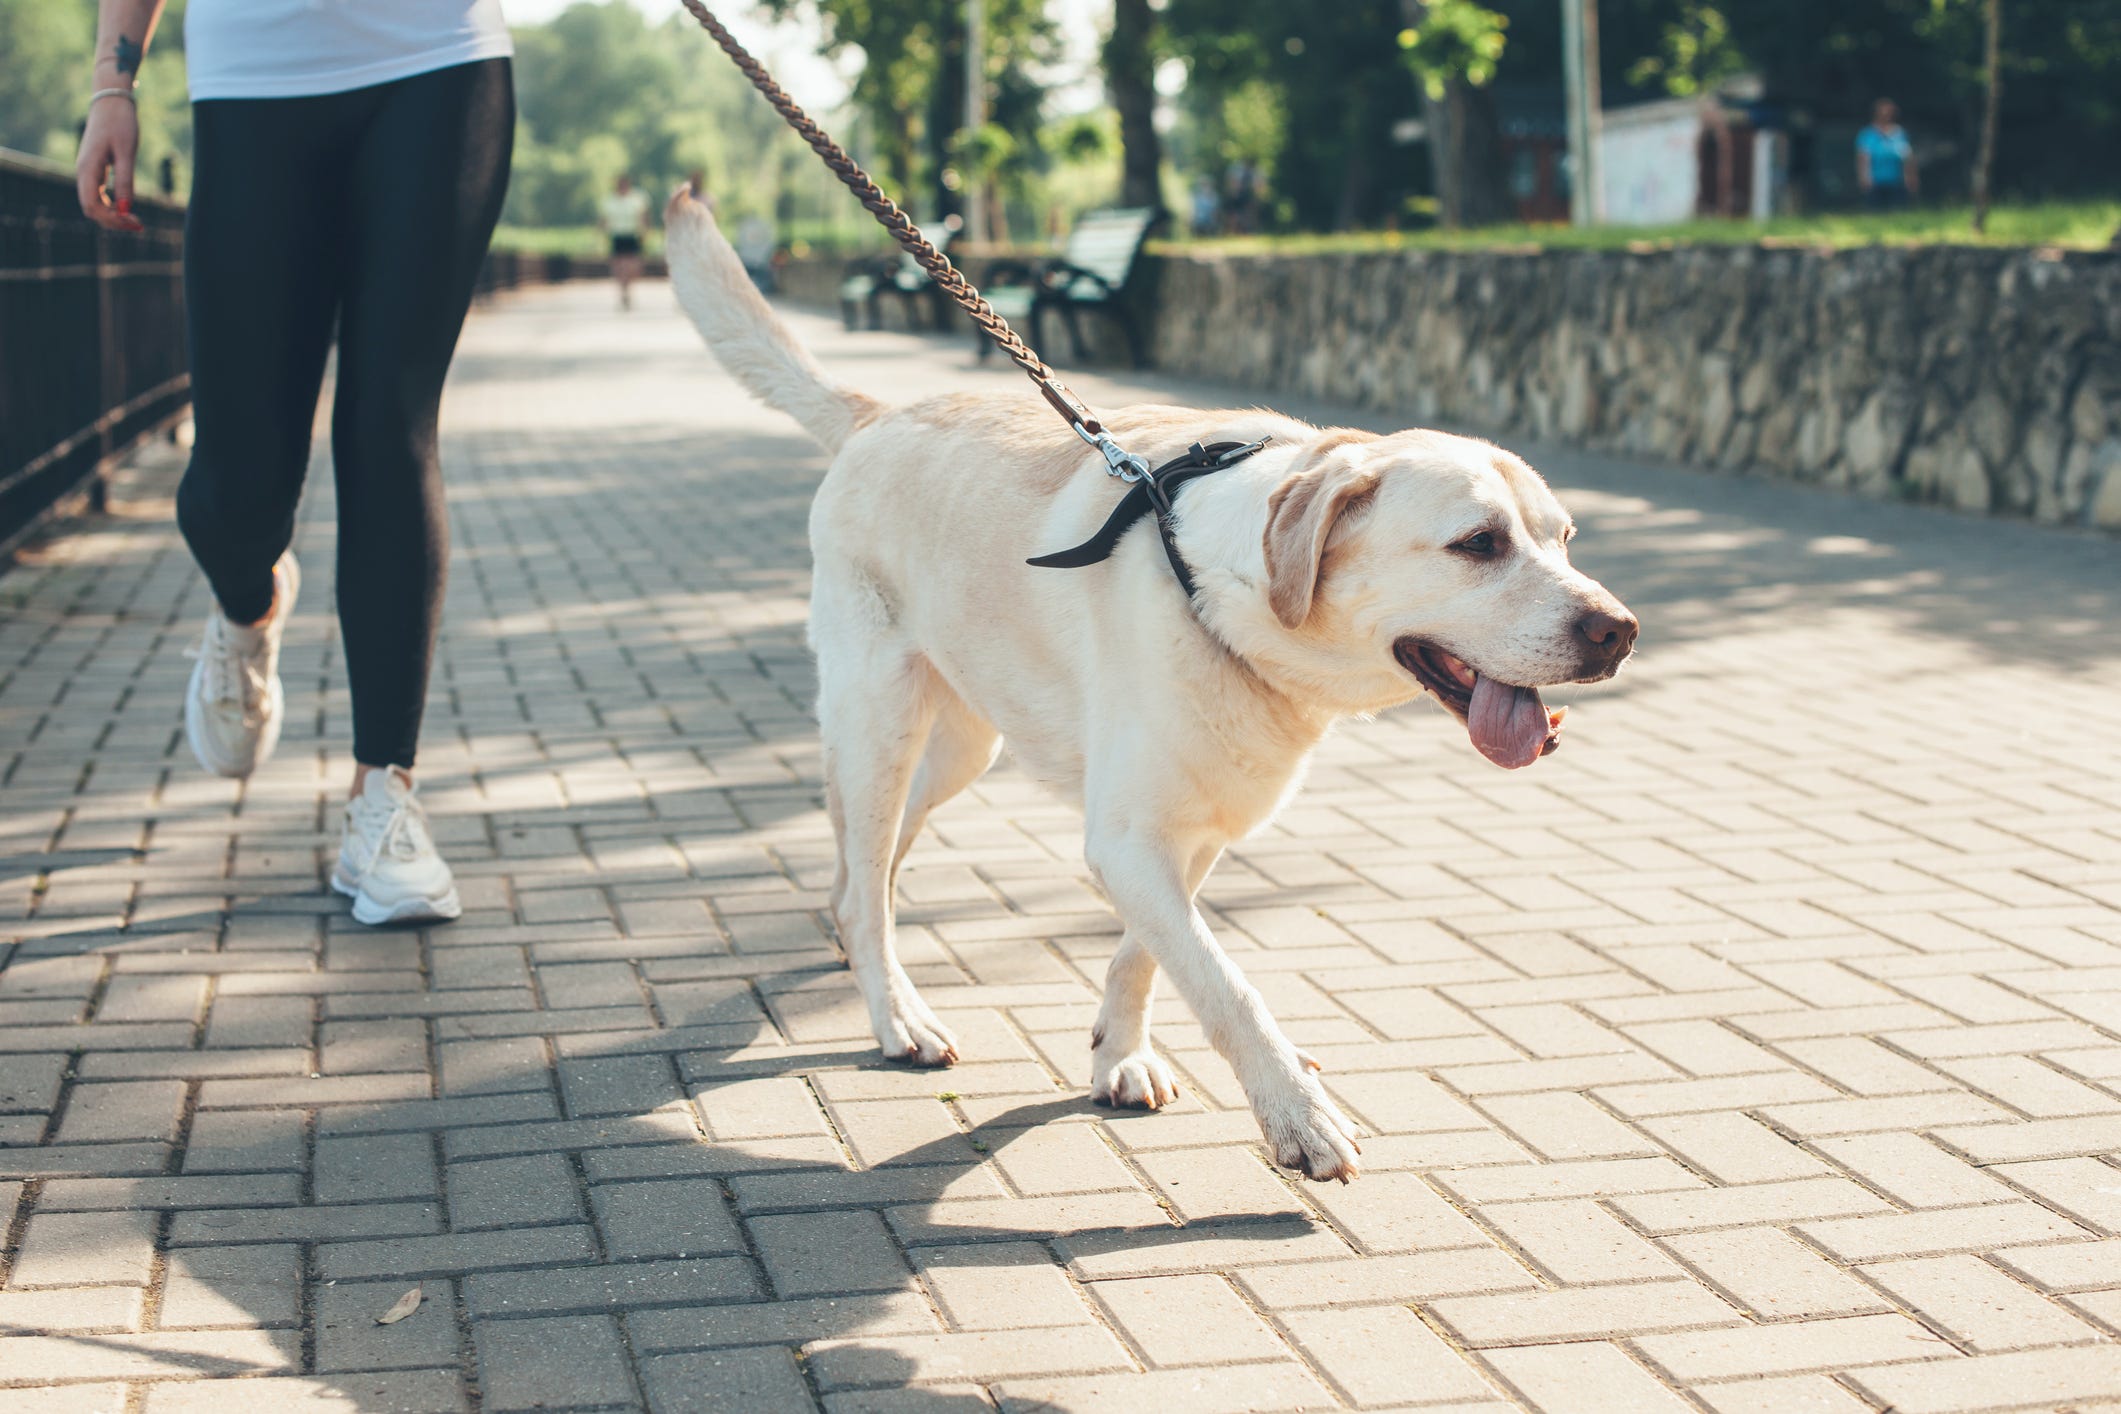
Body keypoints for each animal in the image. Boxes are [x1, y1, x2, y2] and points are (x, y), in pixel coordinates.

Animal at [665, 190, 1637, 1187]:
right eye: (1477, 543)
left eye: (1563, 539)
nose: (1617, 631)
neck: (1220, 587)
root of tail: (877, 416)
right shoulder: (1129, 839)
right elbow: (1226, 985)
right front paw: (1298, 1115)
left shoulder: (1190, 827)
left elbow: (1148, 956)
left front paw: (1118, 1055)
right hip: (880, 723)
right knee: (864, 877)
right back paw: (895, 1011)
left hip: (962, 746)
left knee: (867, 868)